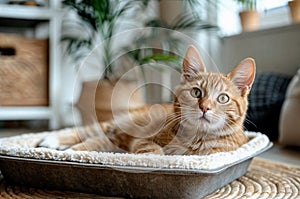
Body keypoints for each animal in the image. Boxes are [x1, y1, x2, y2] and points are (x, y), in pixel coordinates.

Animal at [39, 45, 255, 155]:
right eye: (196, 93)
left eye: (223, 98)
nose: (205, 107)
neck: (196, 138)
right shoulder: (142, 139)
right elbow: (152, 150)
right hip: (119, 126)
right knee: (87, 134)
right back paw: (56, 142)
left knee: (96, 140)